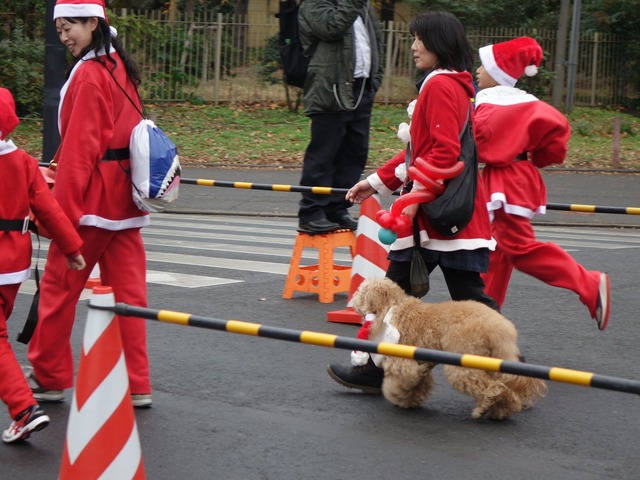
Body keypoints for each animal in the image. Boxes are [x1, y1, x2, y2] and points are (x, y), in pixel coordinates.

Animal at [352, 278, 548, 420]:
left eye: (361, 293)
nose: (352, 303)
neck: (395, 306)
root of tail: (499, 328)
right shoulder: (420, 361)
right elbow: (419, 382)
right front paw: (409, 400)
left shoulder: (402, 362)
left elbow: (399, 381)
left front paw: (398, 396)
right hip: (490, 359)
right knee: (505, 387)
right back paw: (503, 409)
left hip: (464, 363)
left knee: (493, 387)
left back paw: (484, 408)